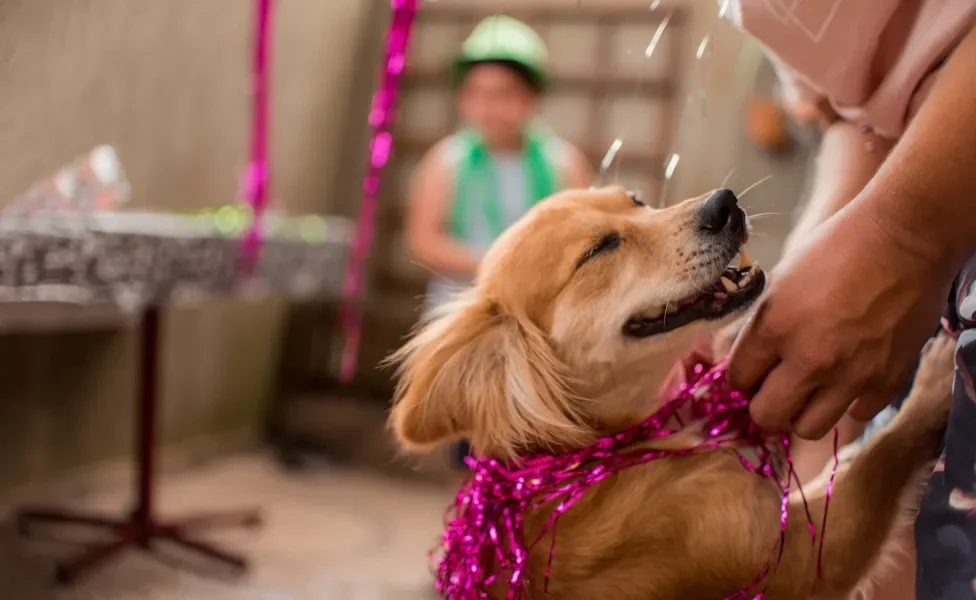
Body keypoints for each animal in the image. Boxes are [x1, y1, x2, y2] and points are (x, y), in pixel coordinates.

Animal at [388, 185, 952, 596]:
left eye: (637, 200)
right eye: (598, 250)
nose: (724, 204)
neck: (607, 448)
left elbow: (858, 458)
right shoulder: (799, 559)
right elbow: (880, 460)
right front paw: (935, 382)